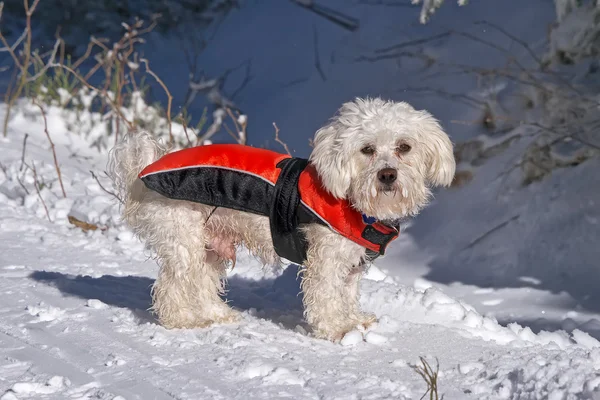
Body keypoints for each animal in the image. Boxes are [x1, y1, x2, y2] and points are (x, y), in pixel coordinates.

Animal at [108, 97, 454, 340]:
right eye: (367, 149)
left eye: (404, 147)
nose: (388, 174)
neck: (354, 202)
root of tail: (145, 170)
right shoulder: (326, 260)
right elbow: (327, 296)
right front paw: (337, 330)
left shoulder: (351, 264)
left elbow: (346, 296)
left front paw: (353, 321)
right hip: (183, 241)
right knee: (172, 286)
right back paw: (181, 321)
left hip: (211, 246)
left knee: (203, 285)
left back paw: (220, 315)